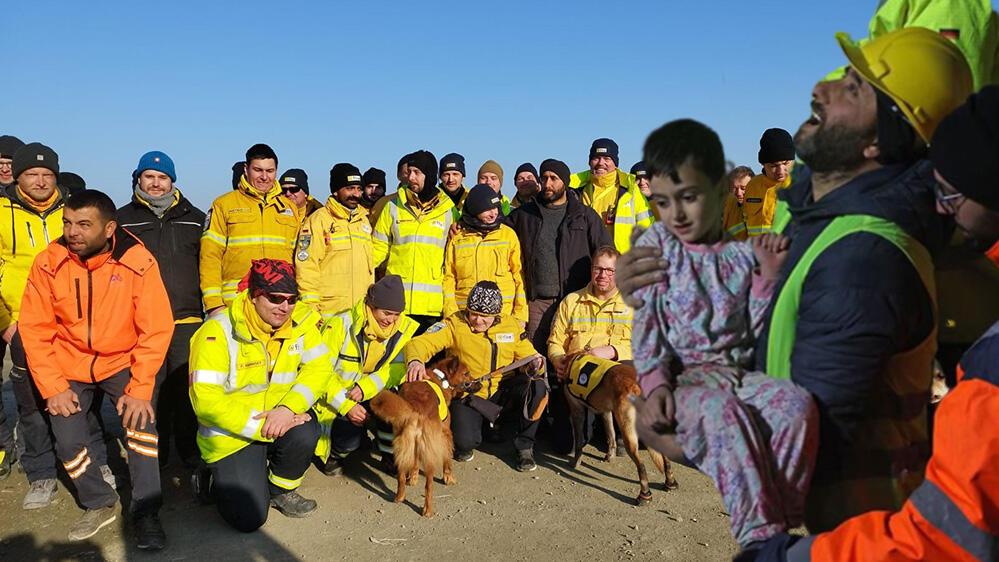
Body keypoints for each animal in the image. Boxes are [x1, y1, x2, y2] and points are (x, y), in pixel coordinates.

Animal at [374, 356, 470, 516]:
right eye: (466, 374)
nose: (479, 383)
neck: (440, 376)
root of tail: (414, 412)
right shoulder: (446, 434)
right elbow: (447, 460)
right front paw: (449, 478)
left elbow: (414, 465)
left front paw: (413, 478)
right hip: (429, 458)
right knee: (428, 487)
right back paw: (428, 510)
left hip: (402, 450)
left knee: (400, 478)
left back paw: (399, 497)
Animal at [564, 350, 680, 504]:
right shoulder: (606, 411)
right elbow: (611, 435)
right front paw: (609, 456)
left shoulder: (577, 411)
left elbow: (578, 443)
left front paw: (576, 463)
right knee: (665, 458)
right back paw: (670, 482)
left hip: (628, 434)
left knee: (641, 465)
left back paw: (644, 495)